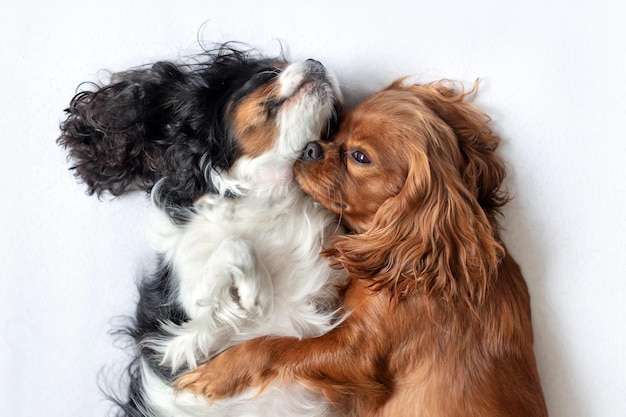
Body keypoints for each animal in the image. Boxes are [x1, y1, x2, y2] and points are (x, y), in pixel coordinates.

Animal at [59, 44, 346, 414]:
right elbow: (235, 245)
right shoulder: (186, 329)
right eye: (266, 73)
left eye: (334, 121)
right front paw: (257, 293)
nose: (317, 62)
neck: (271, 195)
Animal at [176, 79, 544, 416]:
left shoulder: (358, 356)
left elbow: (278, 346)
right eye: (336, 128)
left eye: (360, 157)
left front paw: (216, 372)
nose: (310, 147)